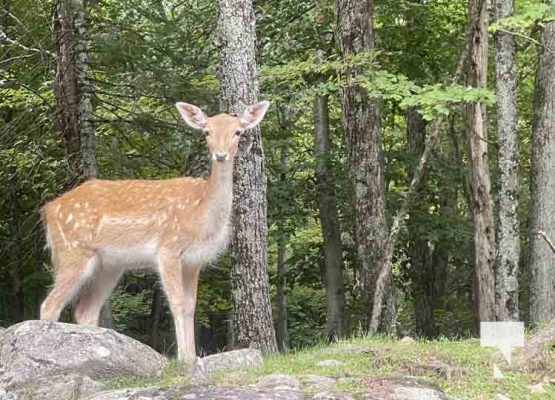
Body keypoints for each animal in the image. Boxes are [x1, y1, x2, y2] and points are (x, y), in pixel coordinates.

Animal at [38, 99, 272, 360]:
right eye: (206, 132)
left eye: (238, 132)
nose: (220, 155)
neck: (201, 213)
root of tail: (49, 209)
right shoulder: (168, 249)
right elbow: (177, 303)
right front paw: (185, 358)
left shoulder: (194, 260)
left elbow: (191, 307)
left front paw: (192, 356)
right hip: (72, 251)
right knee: (49, 304)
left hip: (109, 265)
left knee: (85, 310)